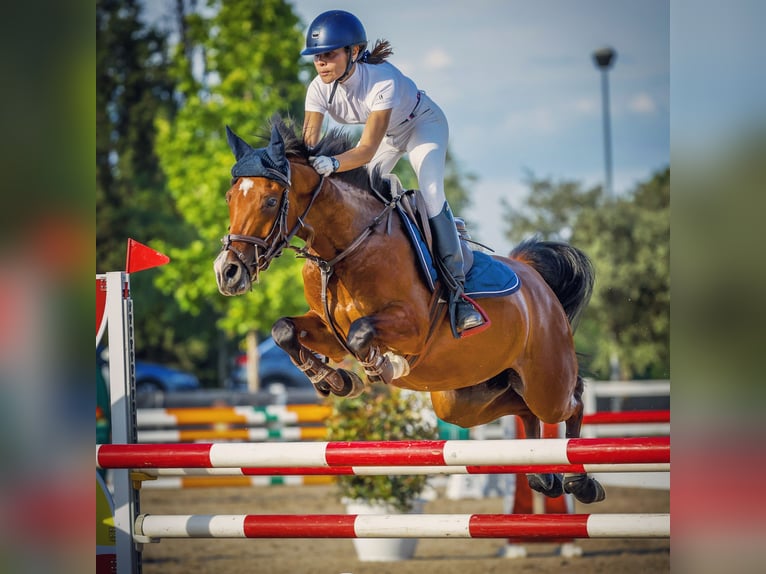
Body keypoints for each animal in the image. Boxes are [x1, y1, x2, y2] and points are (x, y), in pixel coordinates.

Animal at [214, 116, 608, 504]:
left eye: (269, 200)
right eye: (230, 198)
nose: (227, 272)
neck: (346, 248)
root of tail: (534, 278)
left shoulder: (412, 327)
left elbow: (361, 333)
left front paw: (382, 367)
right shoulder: (327, 329)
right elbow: (284, 330)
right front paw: (334, 380)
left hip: (546, 381)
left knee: (572, 400)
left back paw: (579, 482)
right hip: (464, 398)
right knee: (523, 408)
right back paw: (543, 475)